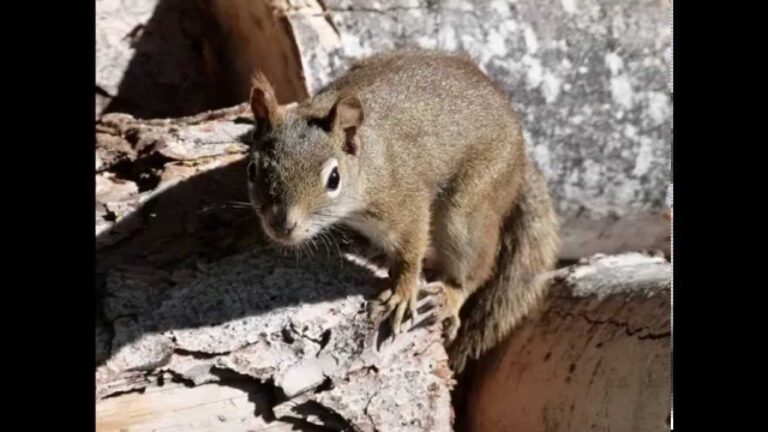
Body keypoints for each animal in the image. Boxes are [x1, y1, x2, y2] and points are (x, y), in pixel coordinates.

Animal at [245, 50, 560, 373]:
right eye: (252, 169)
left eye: (333, 179)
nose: (282, 224)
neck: (368, 163)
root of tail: (522, 154)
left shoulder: (405, 201)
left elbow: (411, 251)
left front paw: (402, 293)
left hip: (469, 205)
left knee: (474, 265)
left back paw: (450, 295)